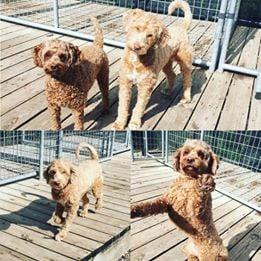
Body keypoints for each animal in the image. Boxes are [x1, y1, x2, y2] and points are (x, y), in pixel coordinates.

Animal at [112, 0, 192, 130]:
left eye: (150, 35)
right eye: (137, 28)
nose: (137, 47)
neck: (136, 59)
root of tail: (182, 27)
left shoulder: (146, 85)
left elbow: (139, 106)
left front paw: (134, 123)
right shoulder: (125, 81)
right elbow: (123, 106)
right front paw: (119, 124)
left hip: (185, 62)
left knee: (187, 79)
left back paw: (186, 98)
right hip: (166, 62)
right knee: (172, 75)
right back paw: (168, 90)